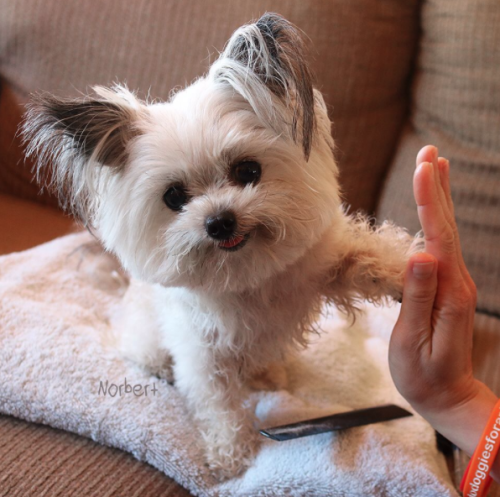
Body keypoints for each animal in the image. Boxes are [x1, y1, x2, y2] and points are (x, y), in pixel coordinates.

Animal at [24, 11, 422, 476]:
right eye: (174, 197)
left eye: (247, 170)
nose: (218, 221)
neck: (246, 276)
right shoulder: (202, 353)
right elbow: (217, 403)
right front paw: (230, 455)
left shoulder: (318, 265)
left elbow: (366, 256)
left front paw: (406, 274)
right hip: (146, 336)